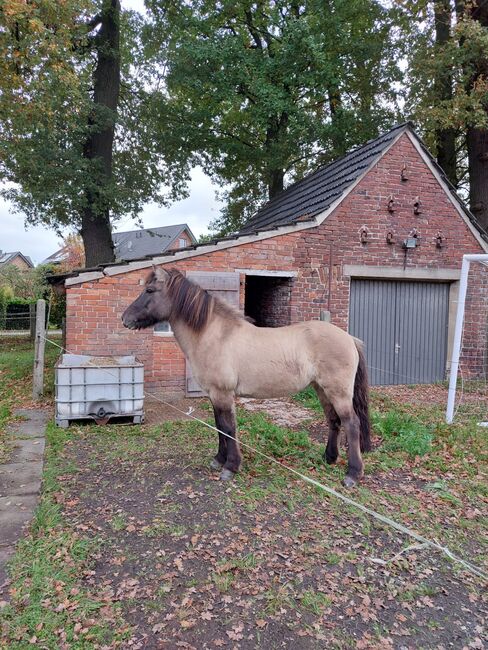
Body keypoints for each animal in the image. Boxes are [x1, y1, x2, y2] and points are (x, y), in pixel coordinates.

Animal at [122, 266, 370, 484]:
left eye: (150, 290)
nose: (125, 318)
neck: (215, 336)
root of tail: (349, 338)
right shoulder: (214, 395)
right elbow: (219, 425)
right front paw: (218, 460)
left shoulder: (223, 394)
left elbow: (229, 428)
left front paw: (230, 467)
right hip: (321, 389)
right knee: (333, 420)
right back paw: (328, 458)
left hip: (338, 392)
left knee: (351, 424)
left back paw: (352, 474)